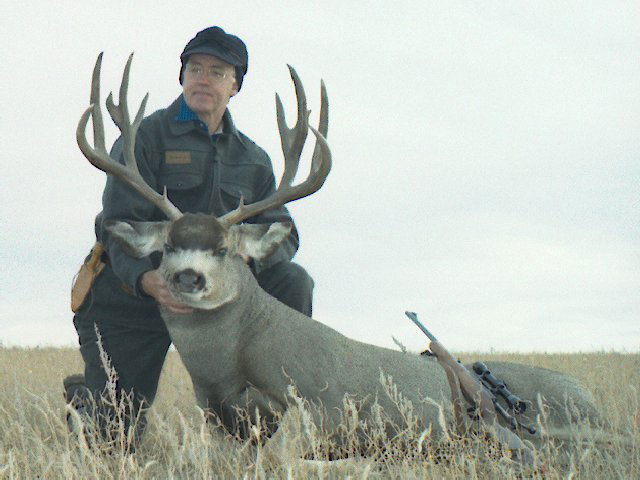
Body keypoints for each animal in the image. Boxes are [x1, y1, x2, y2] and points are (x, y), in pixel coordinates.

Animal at [76, 53, 604, 462]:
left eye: (224, 250)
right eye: (167, 246)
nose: (187, 278)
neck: (230, 360)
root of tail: (592, 402)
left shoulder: (322, 404)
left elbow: (276, 456)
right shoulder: (214, 416)